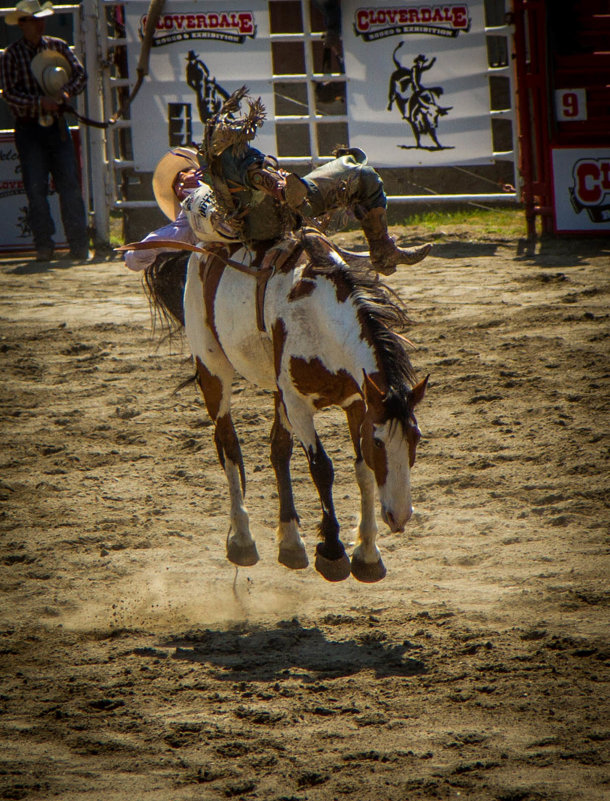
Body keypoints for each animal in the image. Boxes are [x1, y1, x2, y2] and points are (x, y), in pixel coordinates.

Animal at [177, 231, 422, 580]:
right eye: (379, 442)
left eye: (416, 438)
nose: (399, 516)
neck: (322, 318)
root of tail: (202, 251)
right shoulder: (298, 406)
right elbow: (322, 469)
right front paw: (333, 551)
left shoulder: (357, 403)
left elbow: (362, 470)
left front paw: (368, 553)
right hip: (213, 369)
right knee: (228, 444)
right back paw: (242, 538)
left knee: (278, 450)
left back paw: (291, 542)